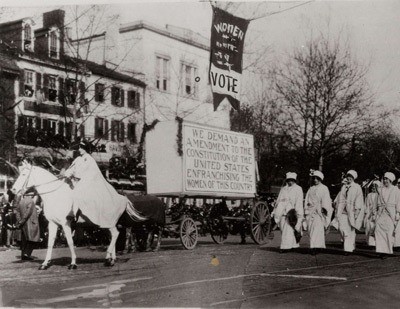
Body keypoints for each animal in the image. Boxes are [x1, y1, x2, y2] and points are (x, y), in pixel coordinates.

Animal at [12, 160, 143, 268]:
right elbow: (50, 243)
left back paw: (108, 259)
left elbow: (70, 242)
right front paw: (45, 263)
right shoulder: (52, 223)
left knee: (116, 234)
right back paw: (111, 259)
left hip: (108, 224)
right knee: (112, 237)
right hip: (105, 225)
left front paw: (73, 263)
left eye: (24, 174)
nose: (13, 190)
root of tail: (122, 198)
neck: (56, 196)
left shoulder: (65, 224)